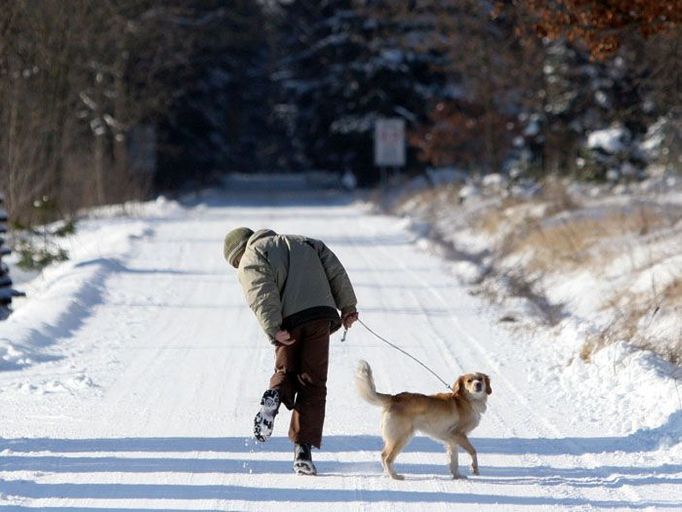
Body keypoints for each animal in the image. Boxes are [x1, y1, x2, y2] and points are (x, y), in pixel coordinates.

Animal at [356, 360, 488, 480]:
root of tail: (394, 397)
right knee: (387, 458)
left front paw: (457, 476)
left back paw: (388, 474)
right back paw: (395, 476)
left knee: (383, 455)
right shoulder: (458, 434)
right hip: (401, 437)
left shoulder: (452, 440)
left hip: (396, 438)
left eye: (480, 379)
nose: (478, 384)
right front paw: (474, 469)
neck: (467, 400)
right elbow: (473, 451)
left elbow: (454, 461)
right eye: (469, 380)